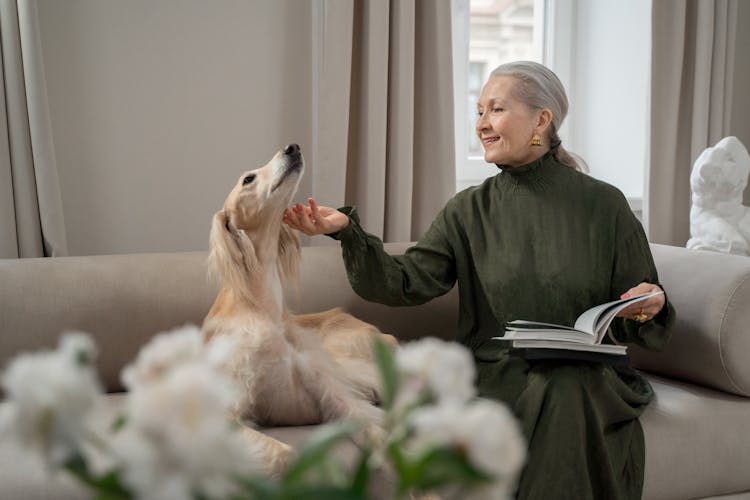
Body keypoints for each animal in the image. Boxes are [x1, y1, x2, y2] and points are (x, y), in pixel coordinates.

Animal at [200, 144, 400, 472]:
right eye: (248, 179)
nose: (292, 148)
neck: (262, 308)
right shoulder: (225, 415)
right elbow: (285, 455)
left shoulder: (333, 394)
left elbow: (382, 438)